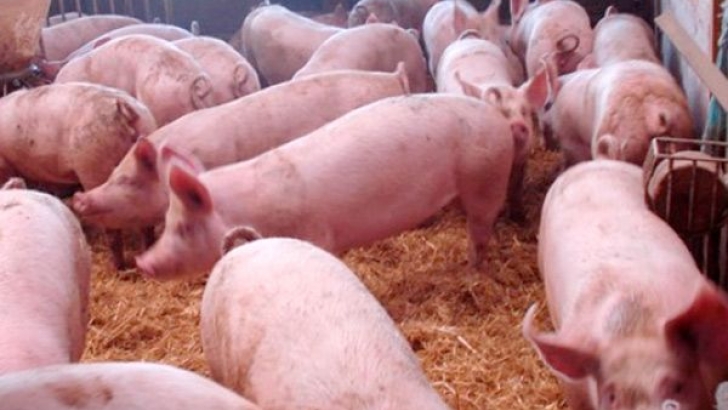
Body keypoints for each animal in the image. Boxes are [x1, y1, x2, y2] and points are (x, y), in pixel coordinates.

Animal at [135, 93, 517, 279]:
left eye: (184, 228)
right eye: (166, 223)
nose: (143, 262)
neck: (247, 207)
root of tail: (498, 118)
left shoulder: (314, 234)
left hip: (486, 176)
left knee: (481, 229)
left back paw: (471, 272)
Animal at [437, 35, 549, 221]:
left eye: (524, 111)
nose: (517, 125)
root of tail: (468, 39)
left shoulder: (522, 159)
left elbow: (515, 189)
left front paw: (520, 218)